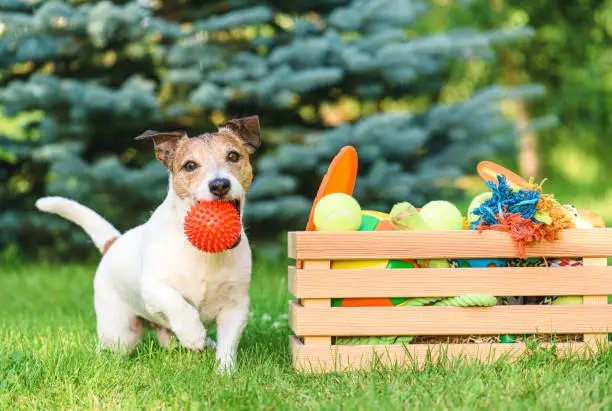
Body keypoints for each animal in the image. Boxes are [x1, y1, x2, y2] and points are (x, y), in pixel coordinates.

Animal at [35, 115, 260, 374]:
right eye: (190, 165)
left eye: (233, 156)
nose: (220, 184)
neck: (203, 253)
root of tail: (114, 243)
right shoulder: (153, 288)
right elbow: (176, 302)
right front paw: (193, 334)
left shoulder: (237, 307)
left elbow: (228, 345)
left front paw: (225, 372)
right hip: (120, 332)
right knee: (113, 347)